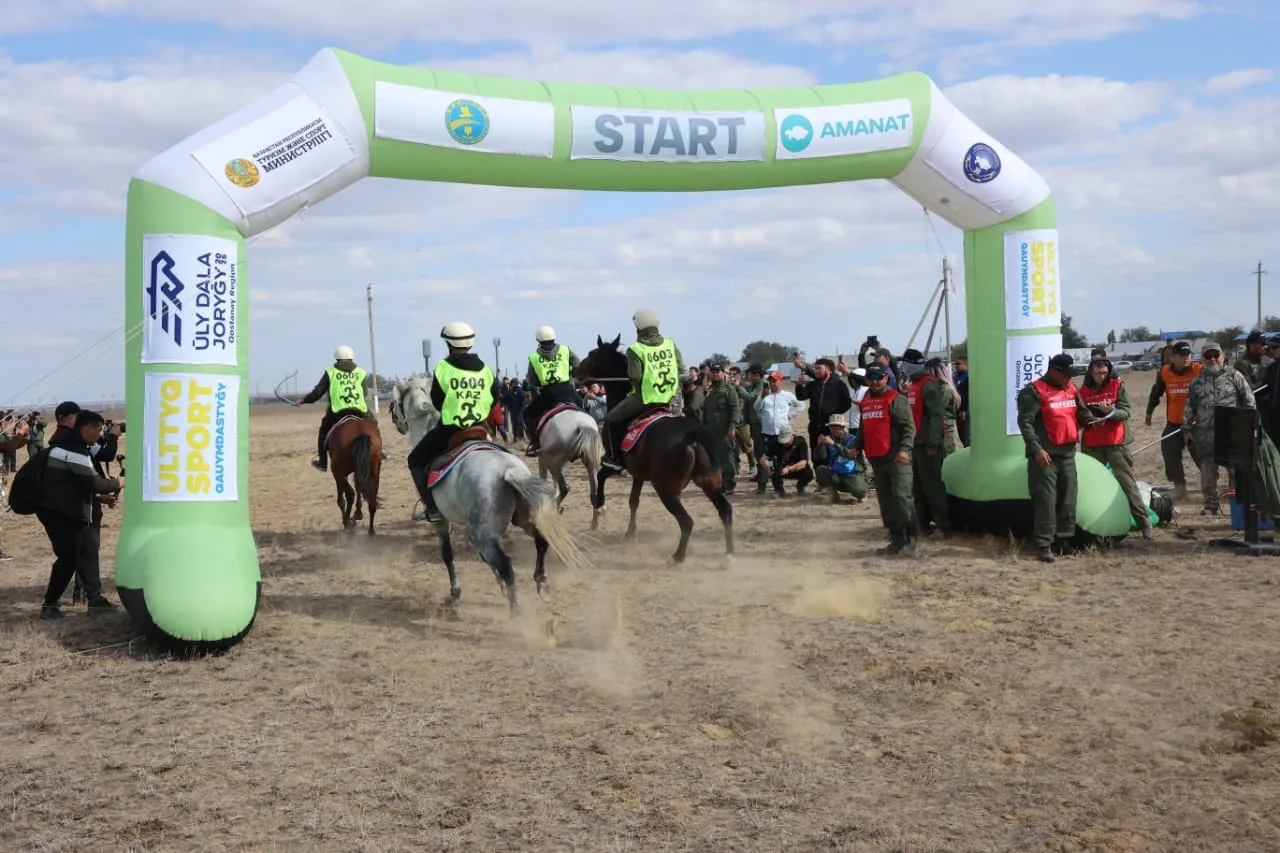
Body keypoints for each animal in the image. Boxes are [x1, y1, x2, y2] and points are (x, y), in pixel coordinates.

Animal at [423, 427, 590, 611]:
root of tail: (508, 471)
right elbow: (482, 556)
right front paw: (500, 585)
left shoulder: (441, 522)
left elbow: (447, 555)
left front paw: (455, 594)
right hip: (521, 520)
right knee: (541, 542)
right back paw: (540, 581)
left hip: (484, 533)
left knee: (506, 565)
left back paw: (516, 611)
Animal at [576, 334, 734, 566]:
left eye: (592, 355)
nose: (575, 371)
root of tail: (693, 436)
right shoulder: (639, 473)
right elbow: (633, 501)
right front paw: (630, 533)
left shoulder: (615, 464)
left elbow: (601, 476)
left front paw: (600, 503)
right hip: (708, 483)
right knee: (726, 511)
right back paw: (728, 555)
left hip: (666, 489)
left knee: (687, 521)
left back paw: (678, 557)